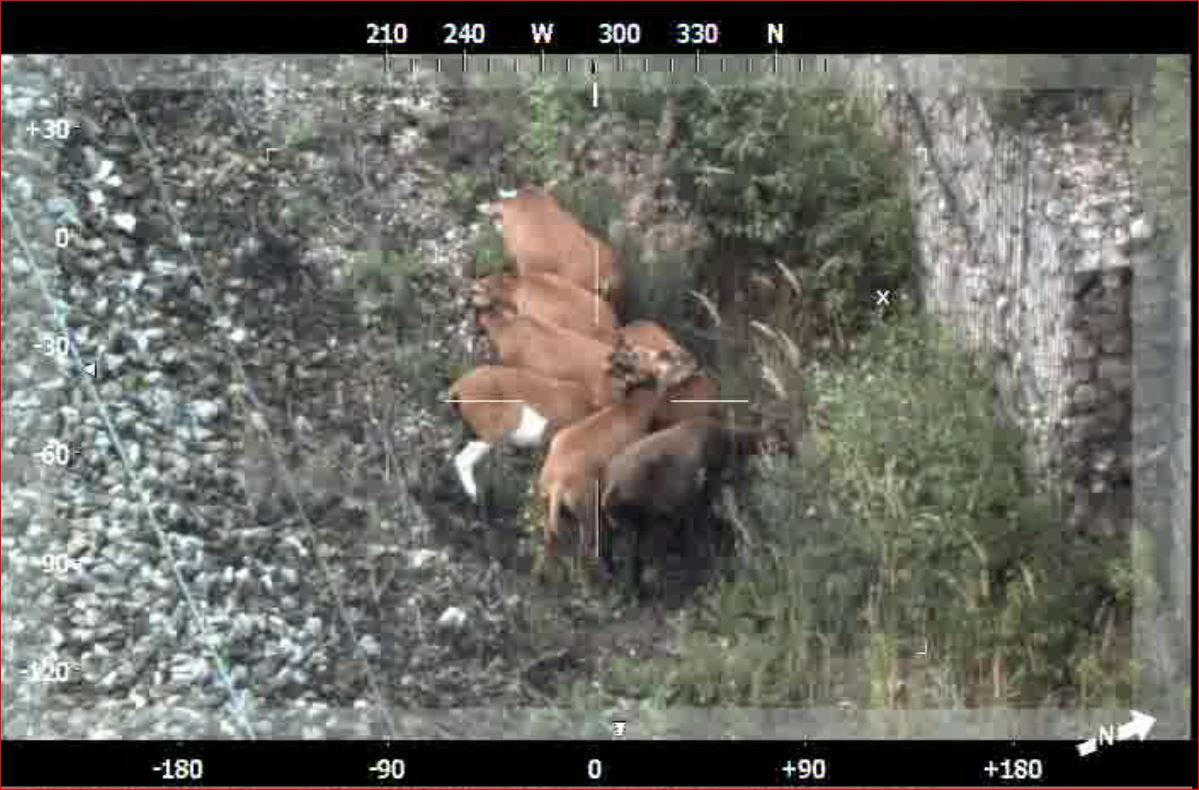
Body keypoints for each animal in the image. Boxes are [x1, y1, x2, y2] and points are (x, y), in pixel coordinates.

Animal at [535, 349, 699, 579]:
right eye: (664, 357)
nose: (694, 362)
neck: (631, 411)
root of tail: (557, 483)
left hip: (550, 515)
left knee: (549, 546)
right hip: (588, 515)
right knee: (585, 553)